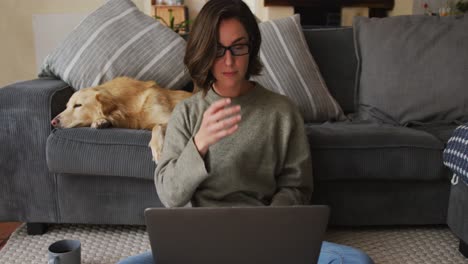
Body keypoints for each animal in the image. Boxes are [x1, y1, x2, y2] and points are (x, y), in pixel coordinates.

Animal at [53, 75, 194, 160]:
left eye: (78, 105)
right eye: (67, 106)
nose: (53, 121)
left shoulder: (170, 118)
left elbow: (156, 127)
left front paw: (158, 149)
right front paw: (100, 121)